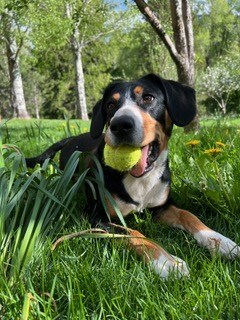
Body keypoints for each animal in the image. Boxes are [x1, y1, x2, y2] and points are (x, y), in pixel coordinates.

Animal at [25, 74, 239, 276]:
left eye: (148, 98)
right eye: (111, 105)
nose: (120, 124)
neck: (141, 180)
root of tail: (73, 138)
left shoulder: (162, 206)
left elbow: (188, 215)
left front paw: (221, 241)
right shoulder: (97, 216)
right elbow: (132, 233)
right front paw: (166, 261)